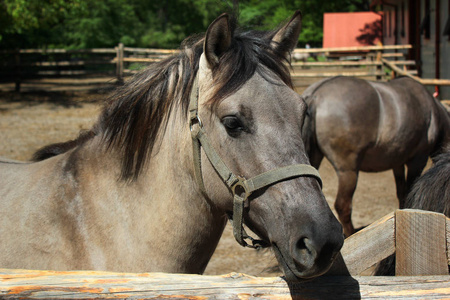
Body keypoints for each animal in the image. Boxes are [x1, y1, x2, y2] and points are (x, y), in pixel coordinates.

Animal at [302, 75, 450, 237]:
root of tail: (316, 95)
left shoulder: (397, 162)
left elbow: (402, 192)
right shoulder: (417, 160)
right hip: (348, 171)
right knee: (343, 206)